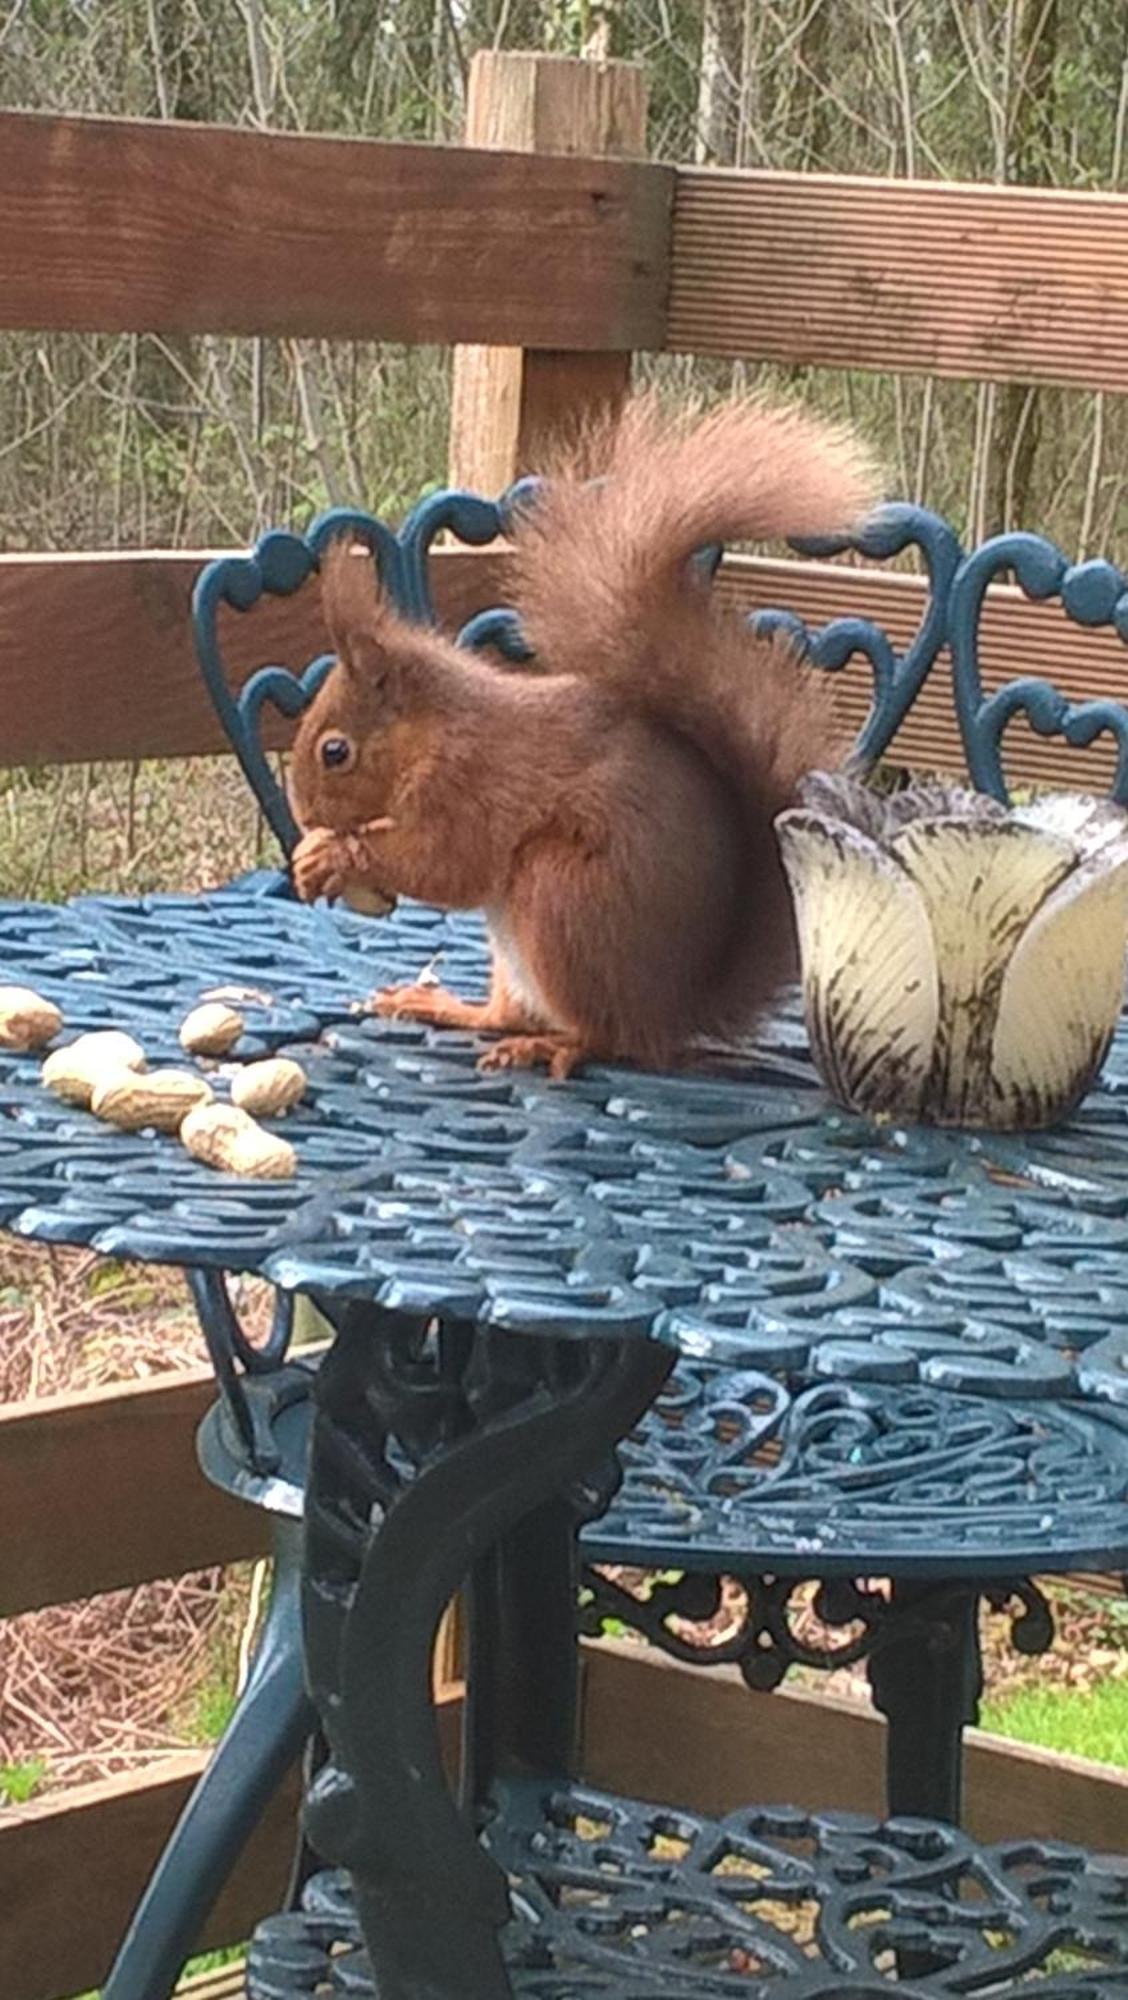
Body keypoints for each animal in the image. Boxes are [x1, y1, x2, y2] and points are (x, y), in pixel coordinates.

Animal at [286, 394, 876, 1080]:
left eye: (335, 751)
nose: (304, 814)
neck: (431, 730)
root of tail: (673, 1010)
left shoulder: (469, 784)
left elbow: (444, 863)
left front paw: (333, 856)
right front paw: (311, 857)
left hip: (561, 897)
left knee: (605, 1035)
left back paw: (554, 1045)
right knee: (508, 1013)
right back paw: (449, 1007)